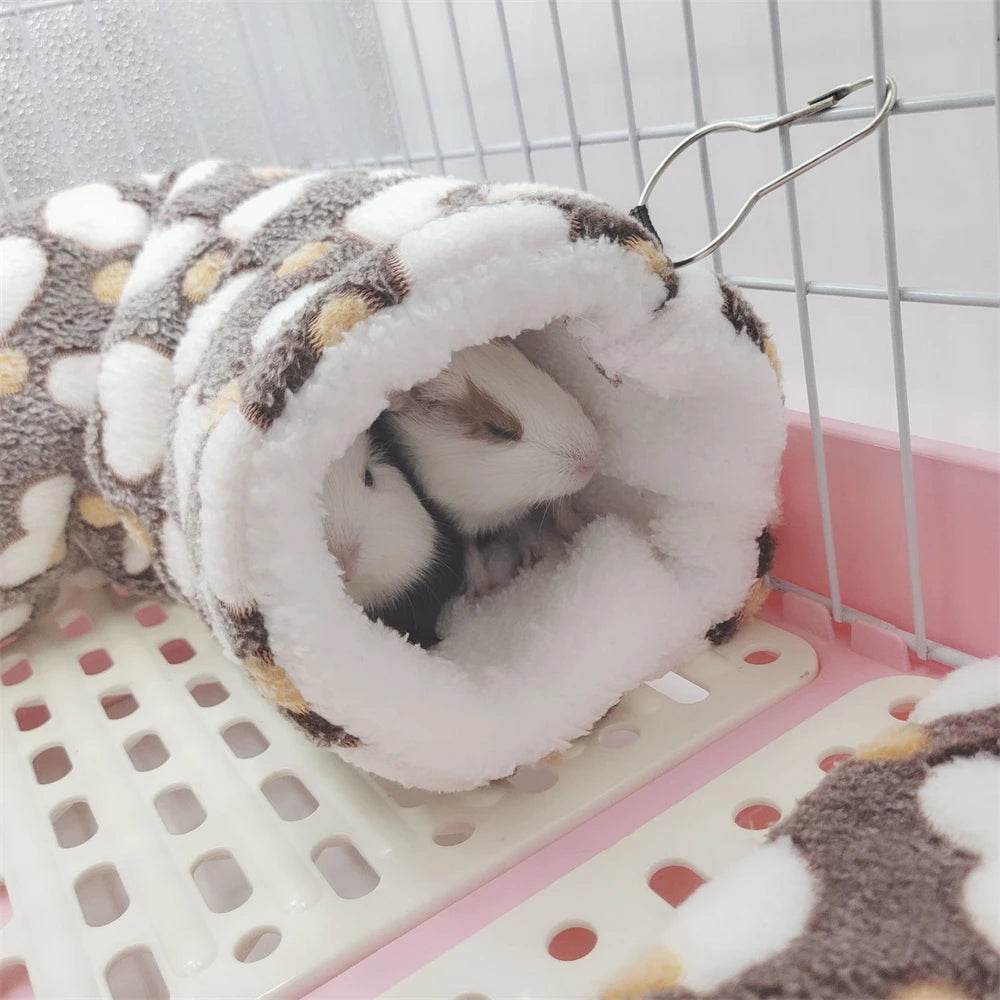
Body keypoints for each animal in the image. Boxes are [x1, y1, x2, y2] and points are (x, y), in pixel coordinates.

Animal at [382, 338, 600, 596]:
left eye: (539, 371)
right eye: (499, 430)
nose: (593, 457)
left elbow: (522, 523)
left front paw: (542, 552)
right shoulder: (455, 517)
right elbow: (469, 545)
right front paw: (482, 591)